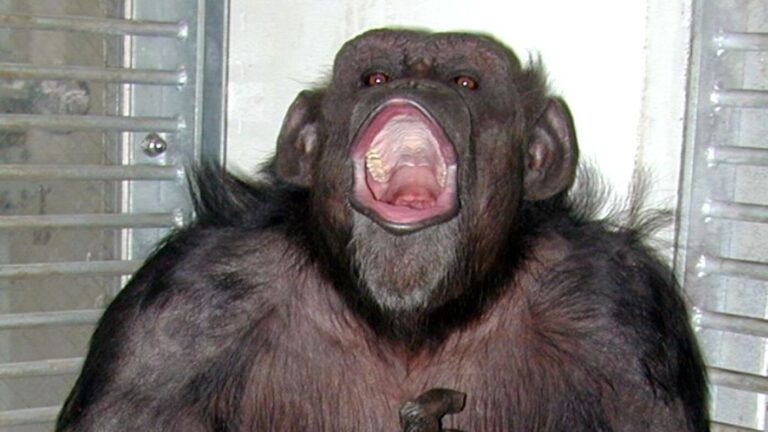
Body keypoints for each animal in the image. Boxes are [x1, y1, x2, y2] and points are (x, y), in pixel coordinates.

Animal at [56, 29, 709, 431]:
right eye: (372, 77)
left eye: (465, 82)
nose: (414, 81)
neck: (407, 323)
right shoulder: (174, 320)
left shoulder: (620, 321)